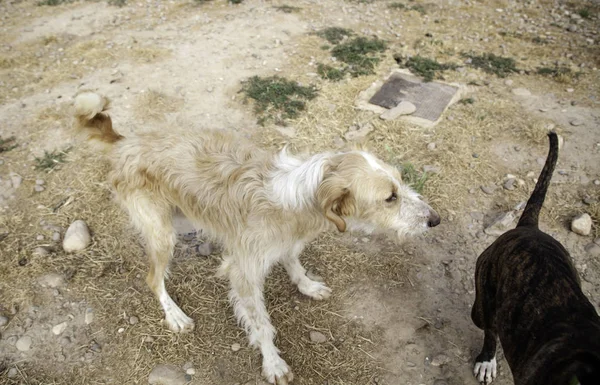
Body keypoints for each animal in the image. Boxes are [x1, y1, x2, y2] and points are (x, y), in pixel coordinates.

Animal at [74, 91, 440, 382]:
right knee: (153, 278)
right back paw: (175, 315)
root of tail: (124, 142)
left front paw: (306, 285)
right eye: (390, 197)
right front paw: (273, 363)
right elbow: (262, 324)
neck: (302, 197)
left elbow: (293, 261)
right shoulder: (243, 272)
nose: (435, 220)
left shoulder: (288, 242)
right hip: (162, 233)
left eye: (401, 181)